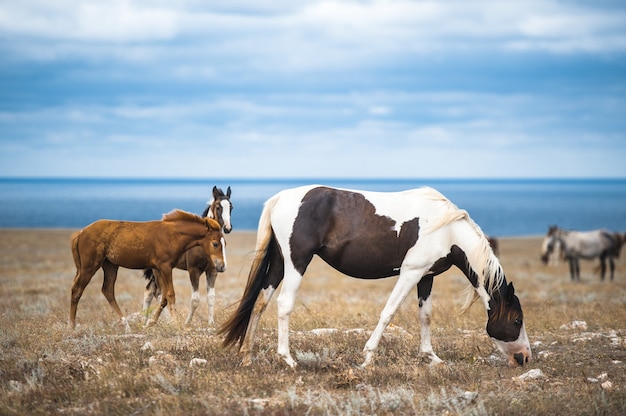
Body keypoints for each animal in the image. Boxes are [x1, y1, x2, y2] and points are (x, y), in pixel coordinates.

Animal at [70, 211, 225, 332]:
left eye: (225, 244)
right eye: (215, 243)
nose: (222, 266)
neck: (172, 235)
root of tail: (81, 232)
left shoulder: (159, 269)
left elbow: (163, 297)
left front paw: (150, 323)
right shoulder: (165, 267)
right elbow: (170, 294)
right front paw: (175, 324)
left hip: (110, 265)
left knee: (107, 290)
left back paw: (126, 325)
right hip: (89, 266)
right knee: (77, 290)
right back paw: (71, 326)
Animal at [141, 185, 232, 324]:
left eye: (231, 207)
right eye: (218, 207)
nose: (227, 227)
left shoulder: (212, 271)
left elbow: (211, 297)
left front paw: (211, 323)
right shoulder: (193, 270)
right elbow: (195, 300)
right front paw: (187, 322)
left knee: (150, 291)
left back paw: (145, 320)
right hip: (157, 270)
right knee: (158, 293)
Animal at [217, 185, 528, 368]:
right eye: (516, 320)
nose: (524, 357)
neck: (446, 229)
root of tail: (281, 197)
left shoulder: (426, 276)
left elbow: (425, 315)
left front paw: (431, 356)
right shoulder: (410, 273)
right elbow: (388, 312)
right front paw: (367, 357)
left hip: (280, 263)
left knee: (260, 302)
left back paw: (247, 356)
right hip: (297, 262)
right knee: (284, 305)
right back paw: (288, 359)